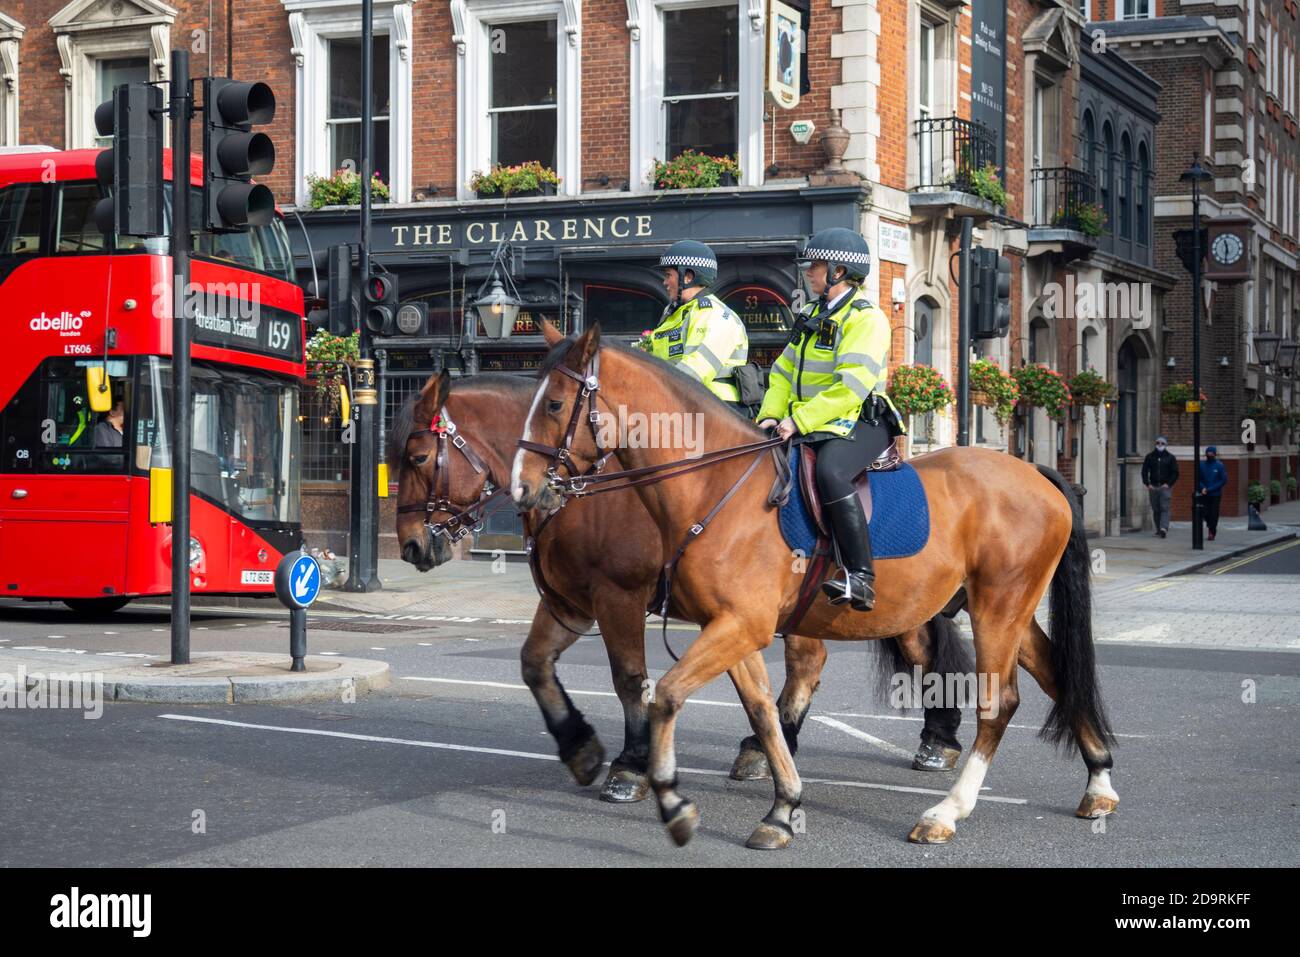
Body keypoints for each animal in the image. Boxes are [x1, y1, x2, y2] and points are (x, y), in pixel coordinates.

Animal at [390, 369, 972, 806]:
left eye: (416, 458)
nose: (412, 546)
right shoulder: (569, 603)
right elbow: (535, 665)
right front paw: (580, 748)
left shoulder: (618, 597)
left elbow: (631, 680)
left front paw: (630, 766)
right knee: (845, 660)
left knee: (867, 657)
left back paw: (929, 739)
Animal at [512, 325, 1123, 847]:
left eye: (555, 404)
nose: (524, 488)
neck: (714, 485)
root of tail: (1031, 470)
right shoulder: (732, 628)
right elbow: (762, 710)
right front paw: (782, 809)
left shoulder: (729, 623)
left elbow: (663, 694)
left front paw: (671, 801)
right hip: (1006, 609)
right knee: (1056, 674)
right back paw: (1098, 783)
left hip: (999, 607)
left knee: (998, 704)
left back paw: (946, 813)